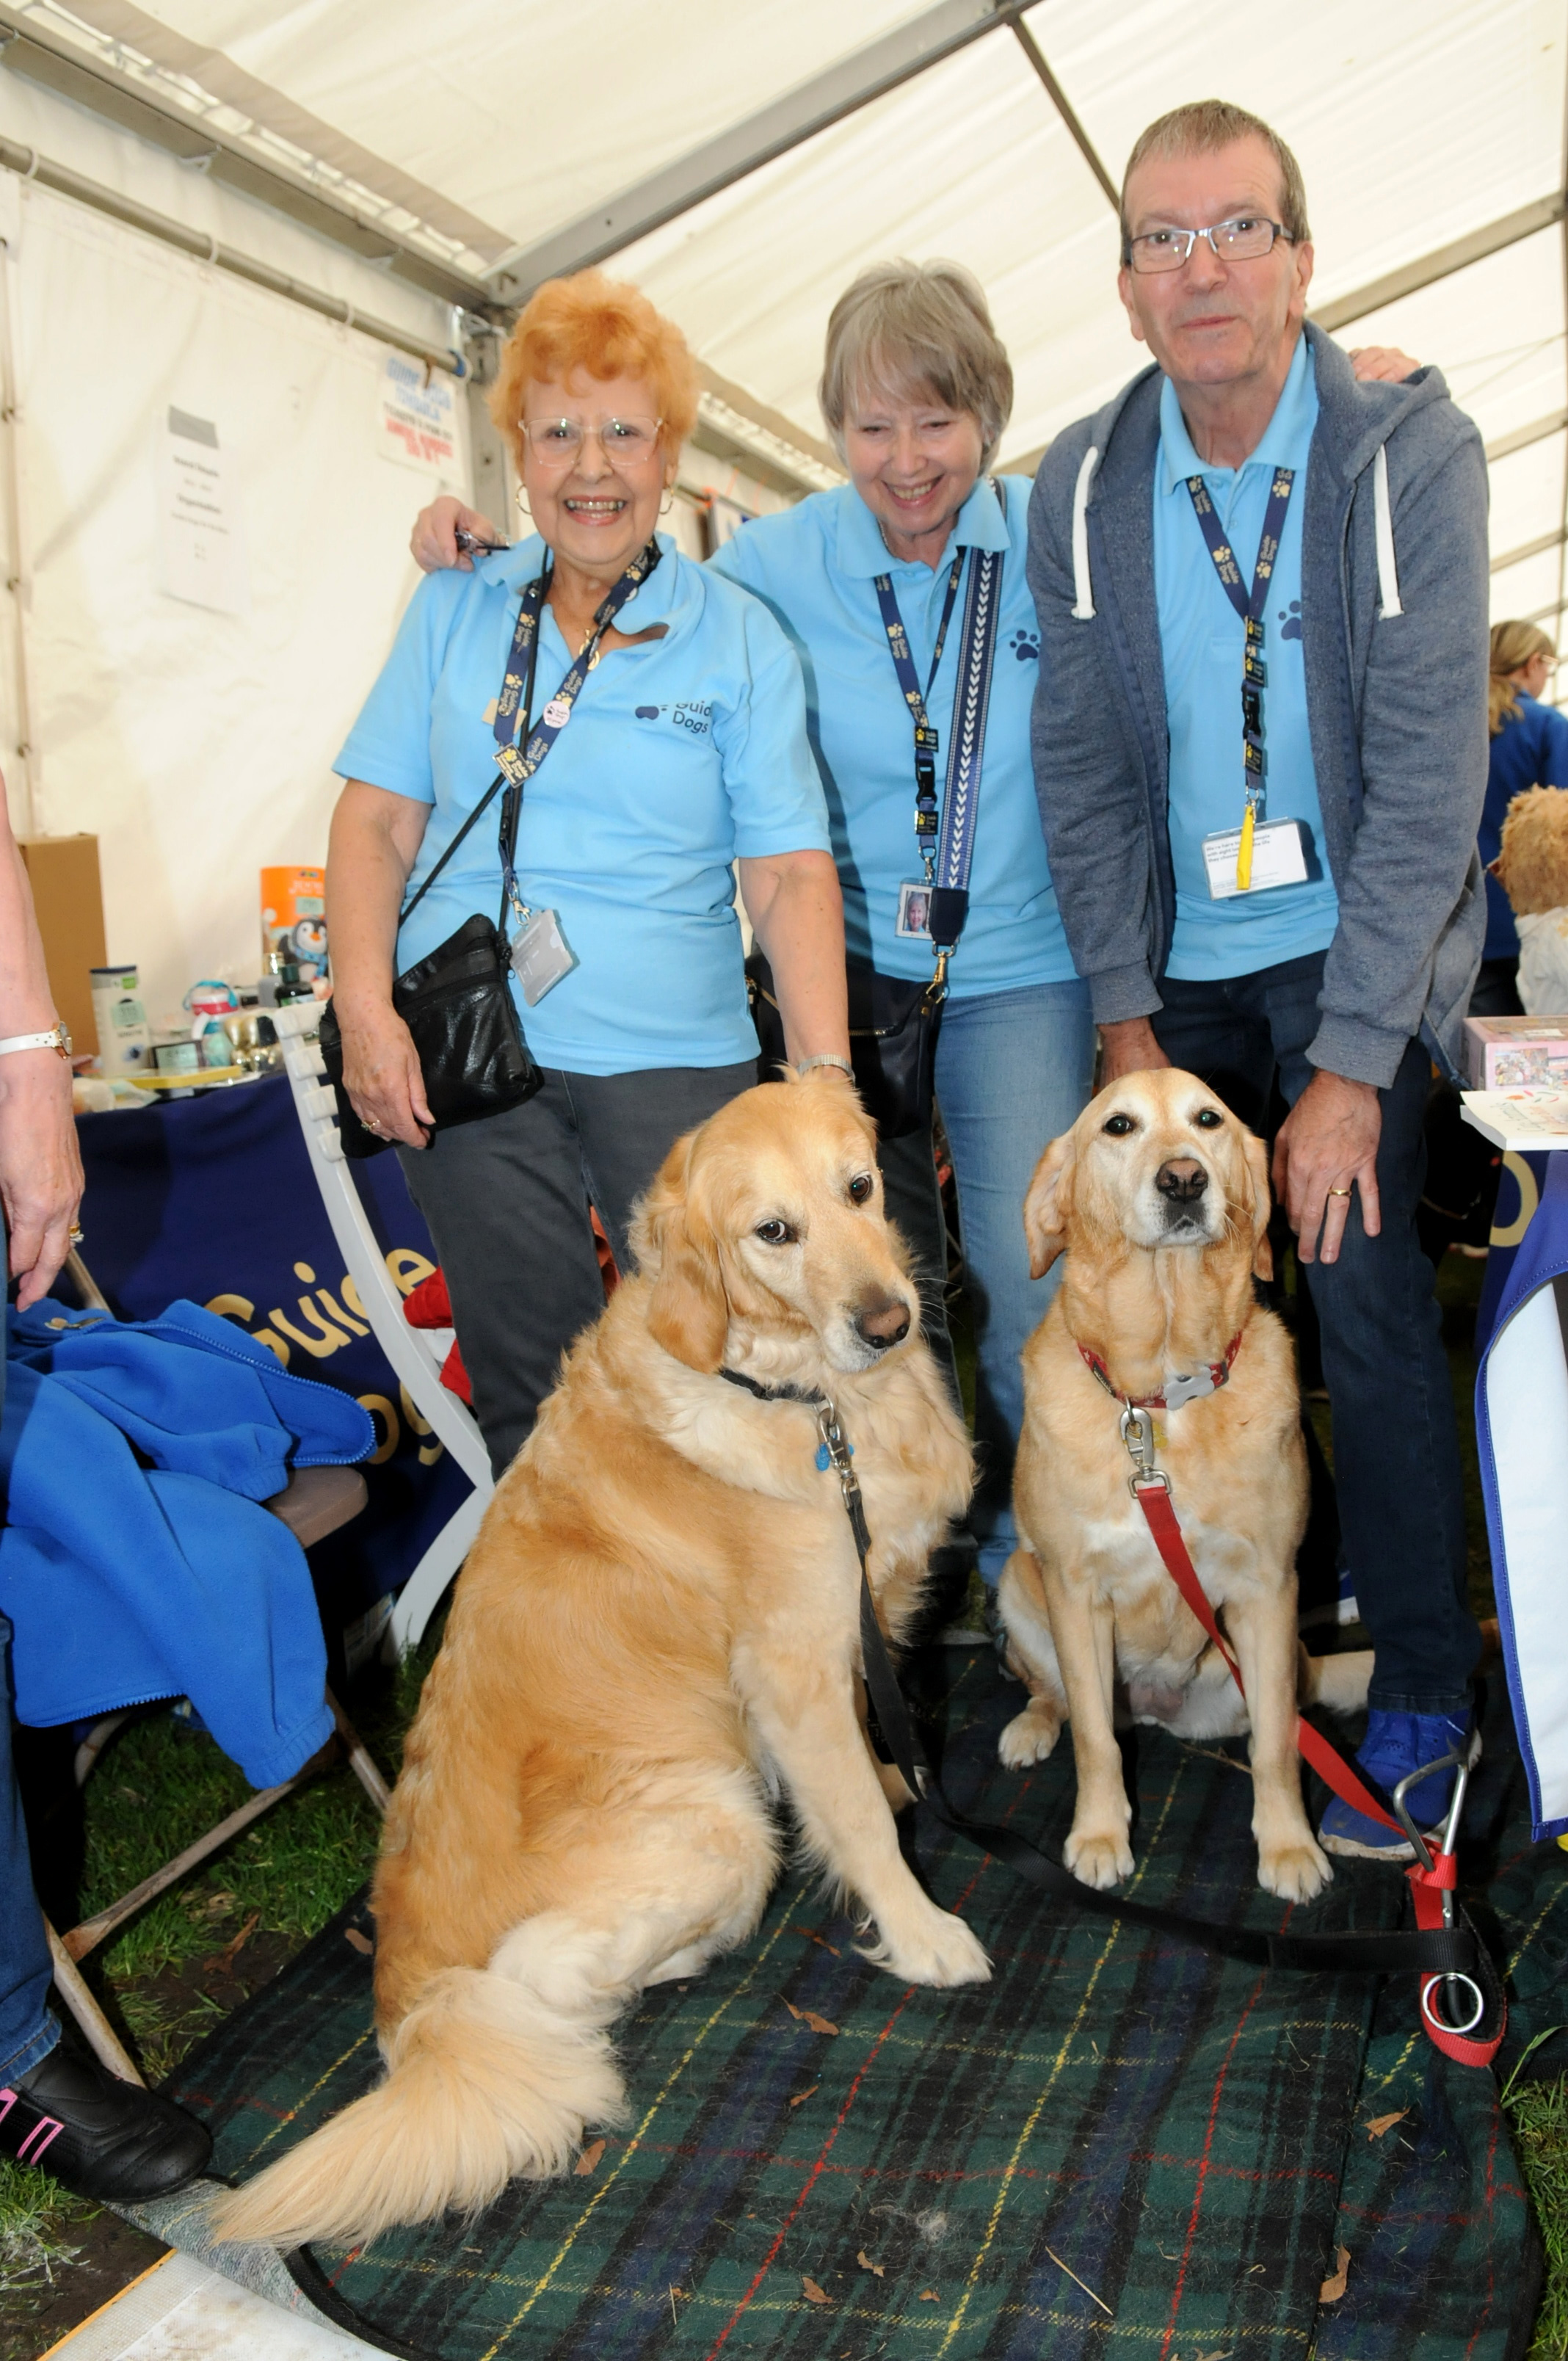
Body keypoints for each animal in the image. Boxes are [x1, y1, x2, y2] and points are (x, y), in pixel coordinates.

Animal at [214, 1072, 987, 2247]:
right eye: (773, 1232)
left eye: (859, 1186)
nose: (889, 1321)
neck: (795, 1392)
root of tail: (409, 2005)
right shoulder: (791, 1670)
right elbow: (854, 1818)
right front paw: (922, 1930)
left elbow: (870, 1749)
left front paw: (902, 1781)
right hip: (717, 1821)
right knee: (551, 1993)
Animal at [996, 1081, 1369, 1907]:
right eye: (1118, 1125)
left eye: (1209, 1120)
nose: (1184, 1180)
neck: (1161, 1397)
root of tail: (1156, 1711)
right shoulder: (1076, 1591)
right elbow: (1095, 1740)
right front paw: (1100, 1838)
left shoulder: (1269, 1588)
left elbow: (1276, 1745)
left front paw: (1288, 1847)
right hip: (1018, 1586)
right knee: (1058, 1697)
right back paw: (1032, 1727)